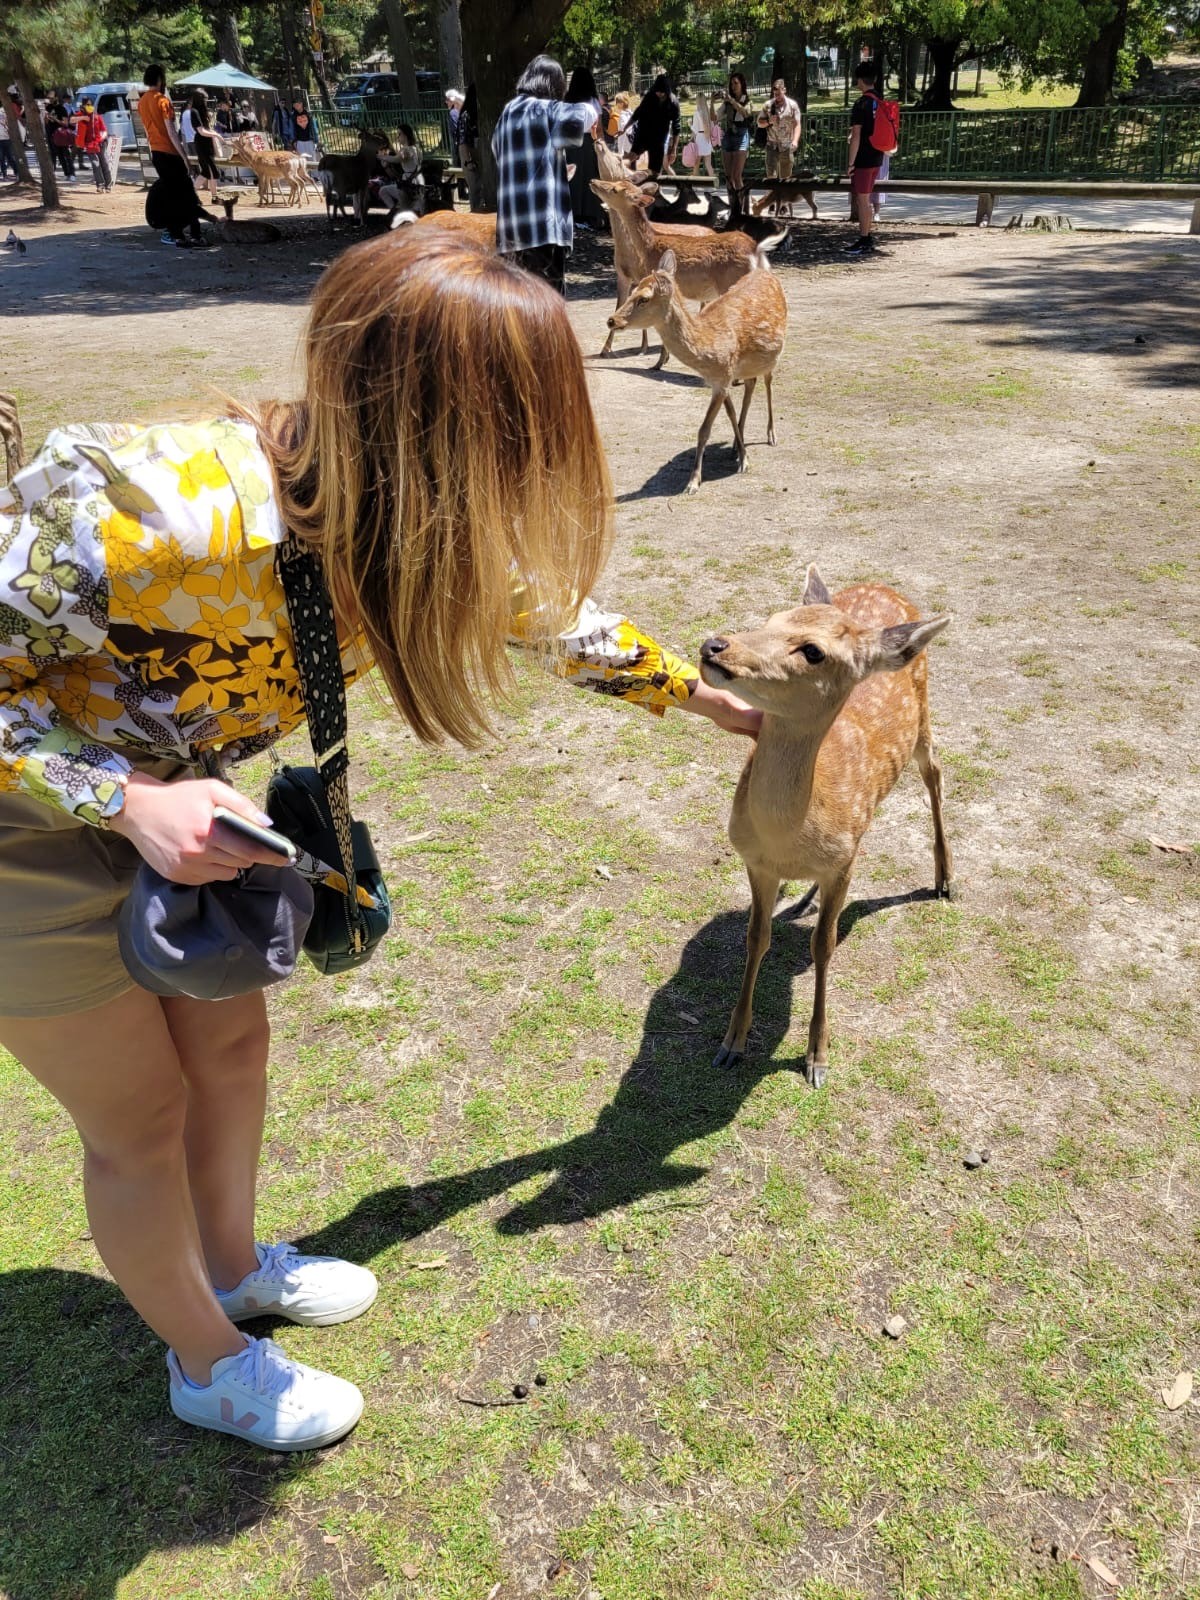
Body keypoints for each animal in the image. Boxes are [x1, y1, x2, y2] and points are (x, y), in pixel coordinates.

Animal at [592, 179, 785, 367]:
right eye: (618, 182)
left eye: (616, 189)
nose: (593, 182)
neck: (649, 247)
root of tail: (756, 249)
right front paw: (663, 359)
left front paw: (659, 362)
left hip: (732, 280)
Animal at [607, 248, 787, 493]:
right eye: (632, 290)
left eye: (643, 298)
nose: (612, 320)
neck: (708, 348)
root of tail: (767, 273)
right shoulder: (720, 379)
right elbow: (730, 414)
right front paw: (740, 454)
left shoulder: (723, 377)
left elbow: (704, 429)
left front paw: (693, 481)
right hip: (748, 367)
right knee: (751, 385)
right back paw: (734, 445)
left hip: (773, 356)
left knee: (768, 382)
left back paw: (771, 435)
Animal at [699, 567, 954, 1089]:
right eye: (772, 618)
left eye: (813, 651)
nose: (715, 645)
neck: (789, 837)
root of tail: (886, 588)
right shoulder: (756, 863)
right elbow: (756, 937)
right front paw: (732, 1042)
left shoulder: (843, 863)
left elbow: (825, 944)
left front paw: (817, 1056)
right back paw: (804, 898)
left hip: (923, 716)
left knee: (936, 773)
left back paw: (944, 879)